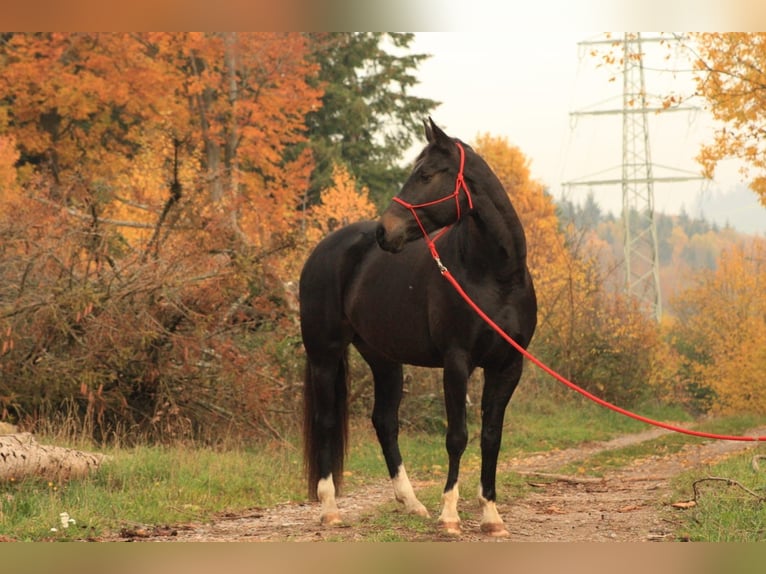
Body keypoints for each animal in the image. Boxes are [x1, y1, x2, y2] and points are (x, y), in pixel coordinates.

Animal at [299, 118, 537, 536]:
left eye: (426, 175)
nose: (385, 231)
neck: (496, 276)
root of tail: (324, 249)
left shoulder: (508, 365)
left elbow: (491, 437)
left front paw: (491, 516)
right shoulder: (457, 362)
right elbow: (457, 436)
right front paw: (450, 515)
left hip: (384, 360)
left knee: (384, 422)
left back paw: (410, 503)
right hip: (324, 355)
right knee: (325, 421)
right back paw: (330, 508)